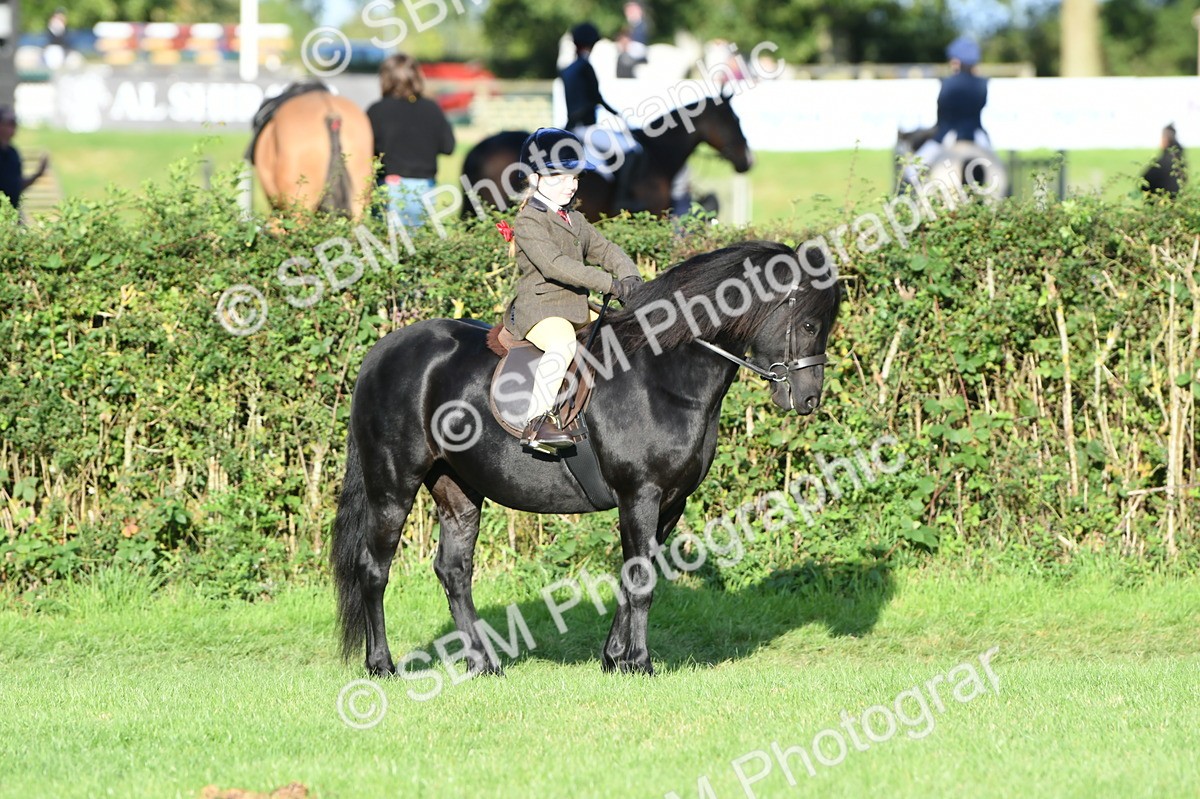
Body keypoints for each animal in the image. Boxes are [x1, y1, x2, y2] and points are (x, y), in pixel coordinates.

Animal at [331, 240, 840, 677]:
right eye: (810, 324)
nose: (808, 399)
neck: (663, 375)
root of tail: (382, 351)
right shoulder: (641, 494)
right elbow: (641, 580)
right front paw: (639, 663)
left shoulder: (670, 502)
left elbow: (636, 574)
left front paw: (614, 658)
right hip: (393, 486)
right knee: (373, 569)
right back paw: (381, 665)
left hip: (457, 488)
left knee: (454, 571)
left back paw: (484, 663)